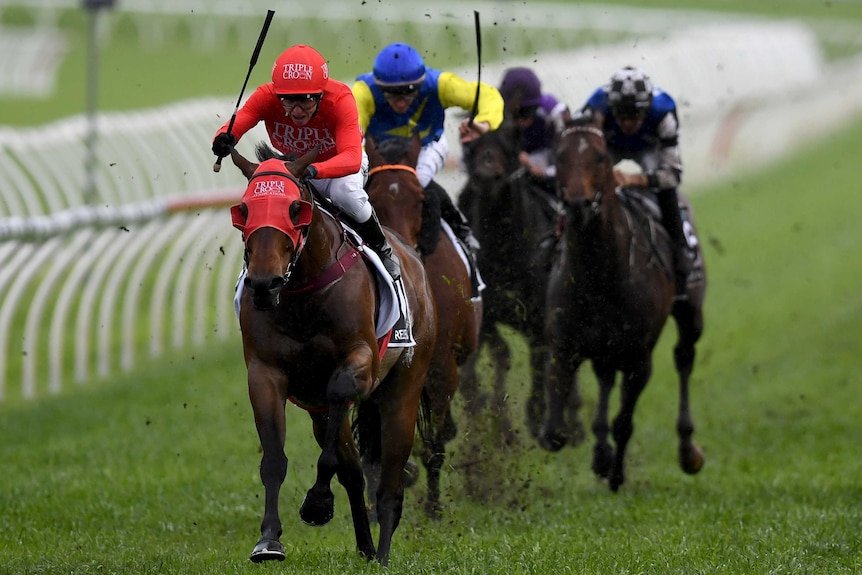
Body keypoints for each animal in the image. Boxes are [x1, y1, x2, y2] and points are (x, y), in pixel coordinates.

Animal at [228, 144, 436, 568]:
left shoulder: (359, 363)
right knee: (354, 472)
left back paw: (383, 555)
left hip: (404, 389)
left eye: (295, 209)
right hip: (320, 411)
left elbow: (338, 406)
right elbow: (275, 459)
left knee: (390, 482)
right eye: (243, 210)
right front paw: (268, 541)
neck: (302, 293)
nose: (263, 284)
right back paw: (366, 548)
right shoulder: (265, 373)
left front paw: (318, 503)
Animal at [460, 120, 580, 446]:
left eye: (507, 146)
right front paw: (497, 422)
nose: (487, 175)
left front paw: (536, 418)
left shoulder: (540, 319)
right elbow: (499, 354)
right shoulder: (486, 316)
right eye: (472, 147)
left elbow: (540, 363)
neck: (506, 252)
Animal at [540, 115, 708, 492]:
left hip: (690, 313)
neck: (598, 275)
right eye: (559, 156)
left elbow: (624, 422)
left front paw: (616, 475)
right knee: (605, 378)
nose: (578, 205)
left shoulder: (638, 358)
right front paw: (600, 457)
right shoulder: (564, 345)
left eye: (600, 156)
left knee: (684, 357)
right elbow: (555, 433)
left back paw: (687, 449)